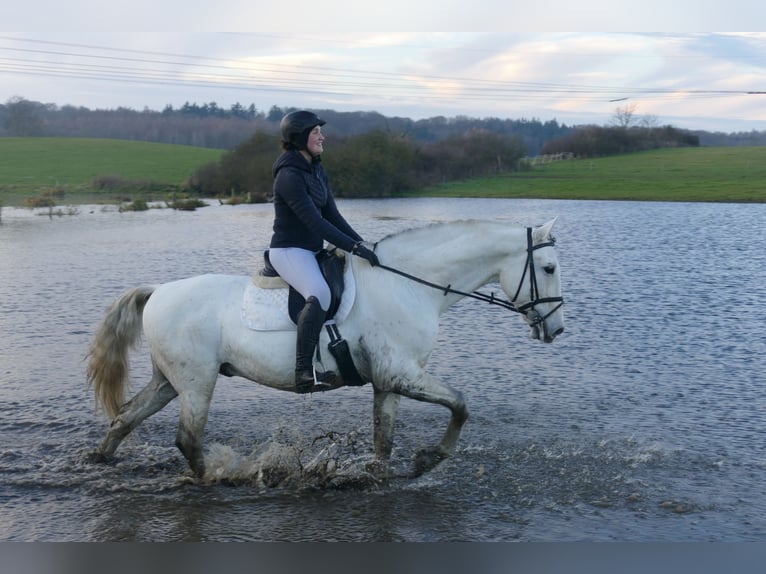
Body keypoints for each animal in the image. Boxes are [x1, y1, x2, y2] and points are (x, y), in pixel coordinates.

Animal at [87, 218, 568, 480]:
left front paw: (382, 475)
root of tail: (158, 291)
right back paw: (222, 478)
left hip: (170, 381)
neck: (409, 283)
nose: (557, 329)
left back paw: (100, 459)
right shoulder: (403, 373)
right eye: (548, 268)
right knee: (187, 439)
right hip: (196, 383)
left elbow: (383, 439)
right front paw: (429, 459)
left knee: (125, 418)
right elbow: (461, 404)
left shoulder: (389, 380)